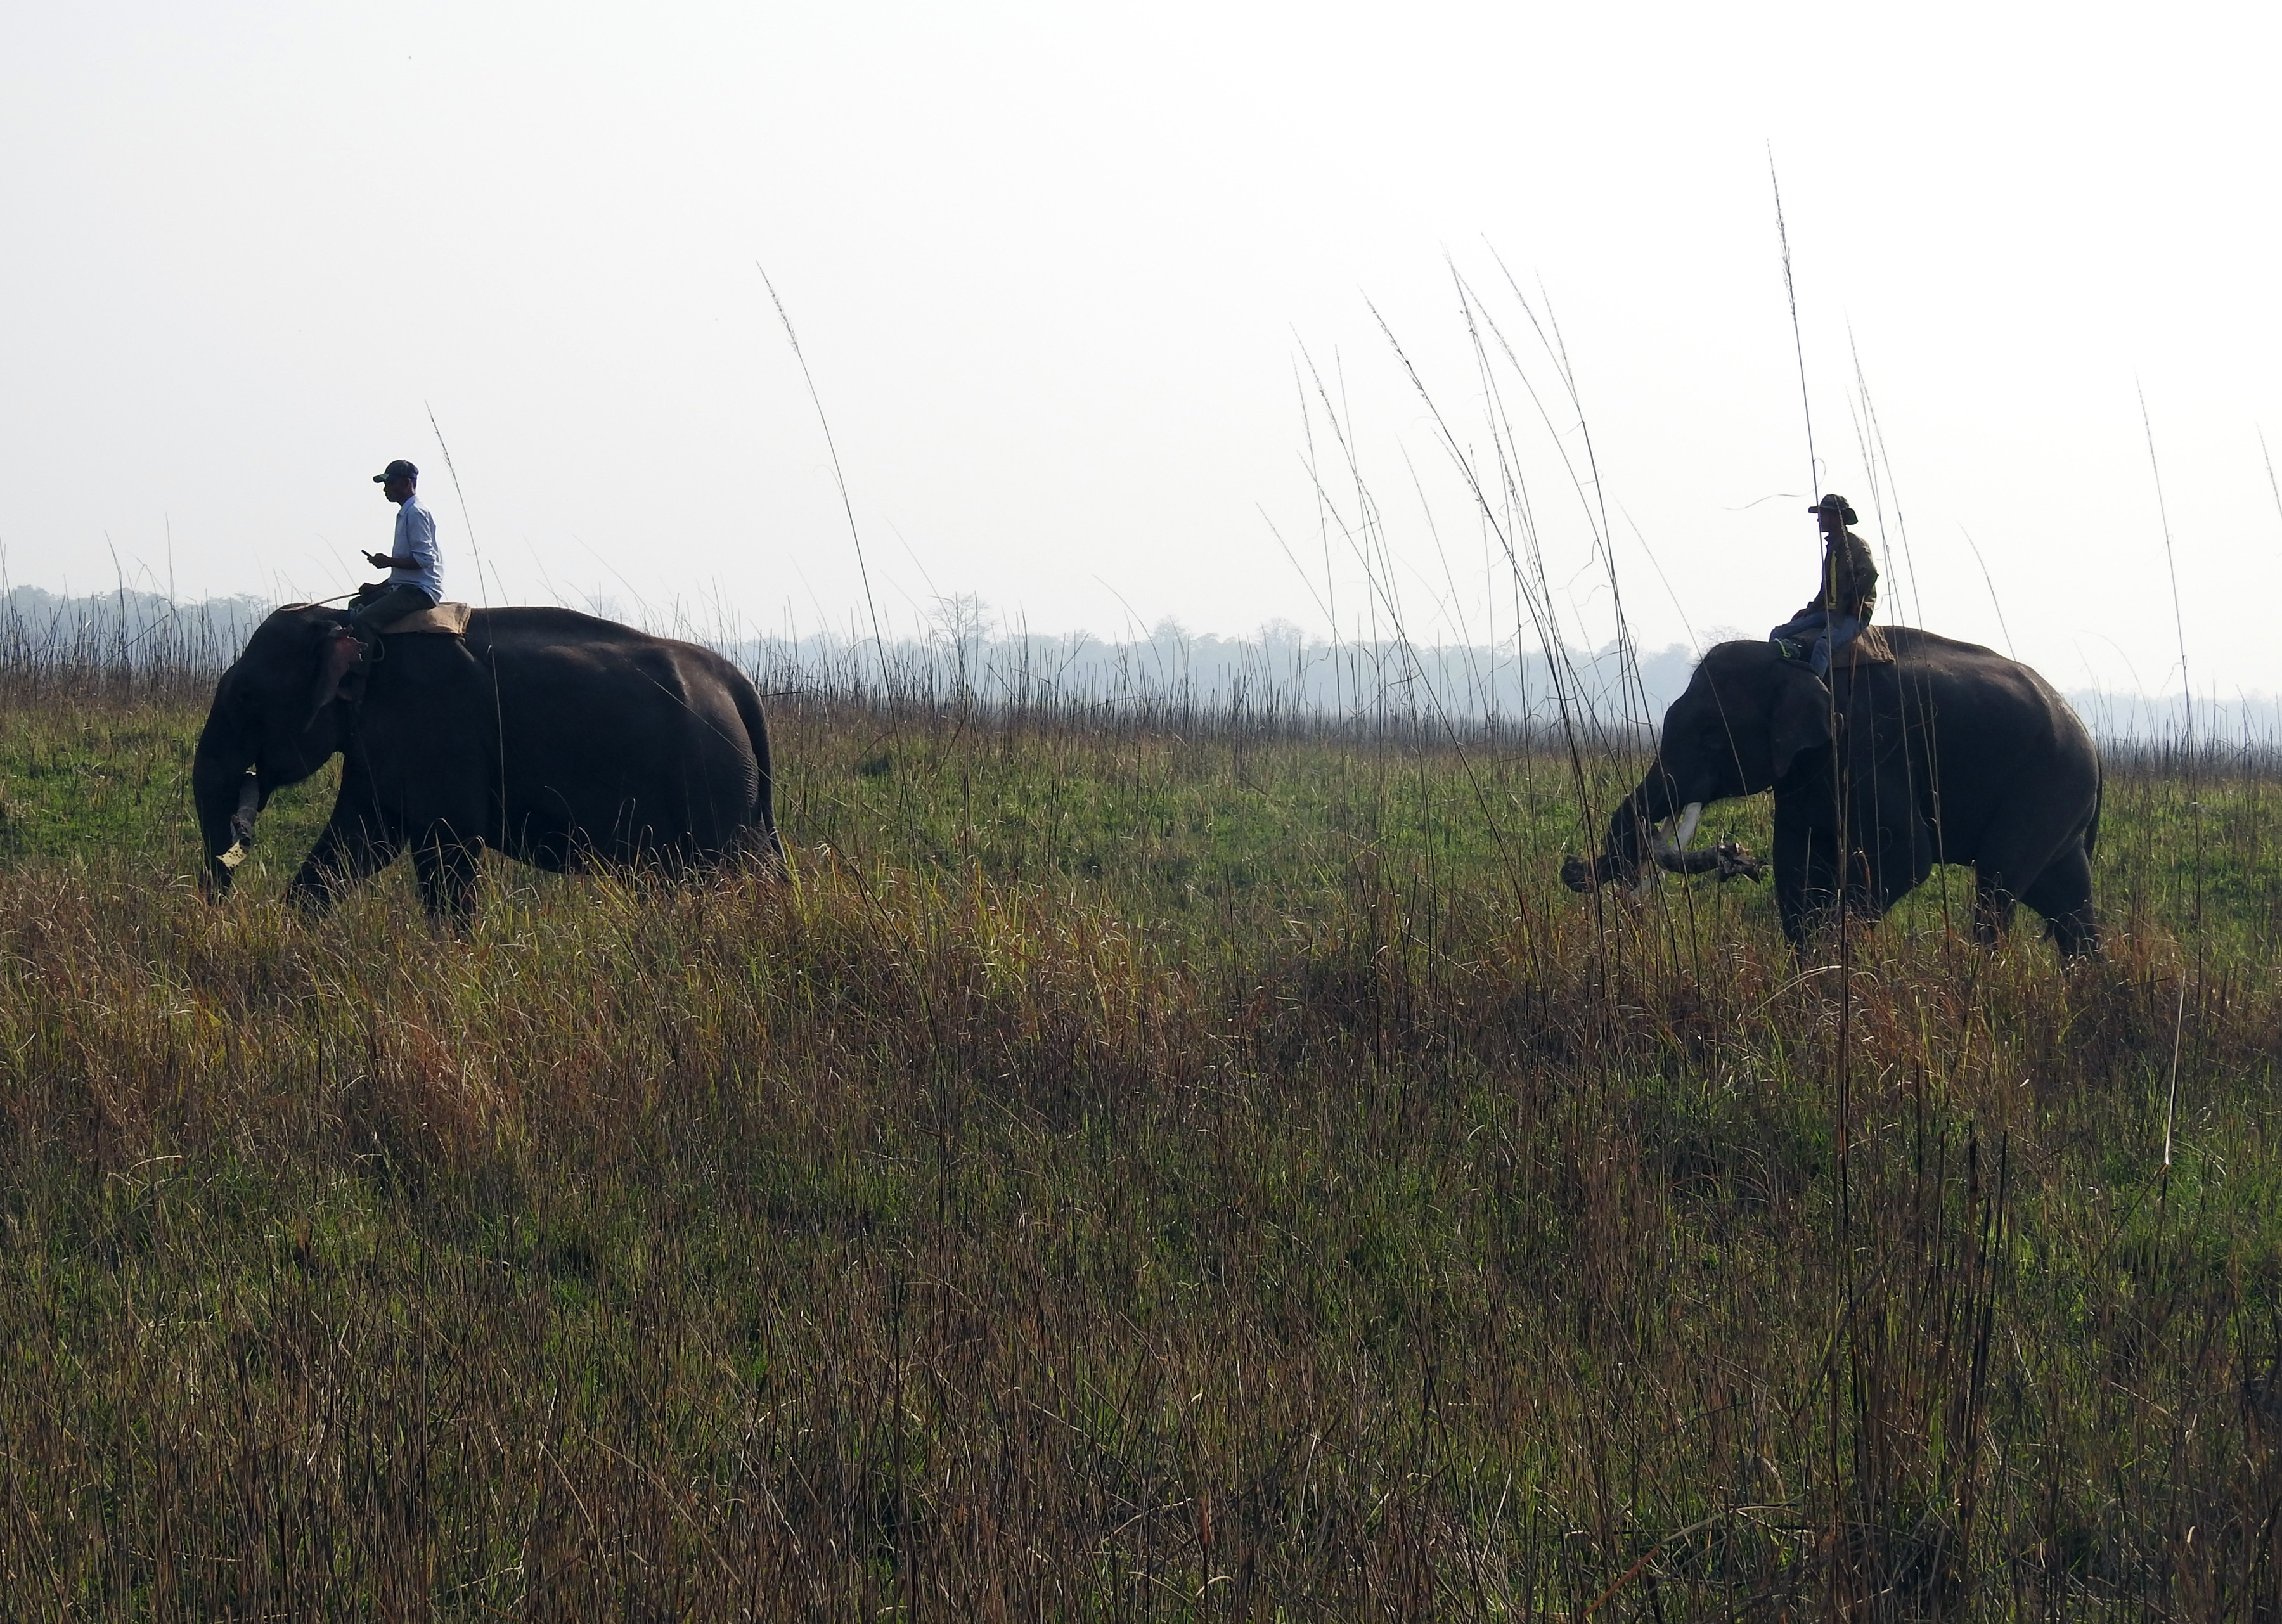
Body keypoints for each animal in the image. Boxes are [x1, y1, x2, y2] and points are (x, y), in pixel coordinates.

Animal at [189, 607, 776, 921]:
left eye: (244, 696)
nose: (220, 912)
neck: (352, 625)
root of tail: (740, 684)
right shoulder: (380, 747)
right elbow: (362, 841)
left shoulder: (436, 730)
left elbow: (446, 845)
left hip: (712, 781)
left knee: (720, 872)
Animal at [1570, 629, 2099, 958]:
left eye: (1712, 736)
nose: (1570, 869)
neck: (1798, 658)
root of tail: (2085, 734)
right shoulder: (1802, 777)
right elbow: (1796, 864)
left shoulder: (1869, 749)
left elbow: (1906, 856)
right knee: (2068, 901)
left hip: (2045, 788)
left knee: (1999, 886)